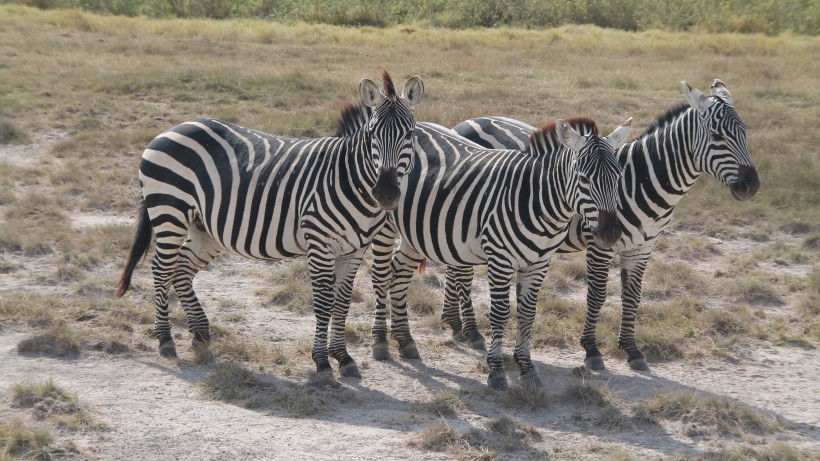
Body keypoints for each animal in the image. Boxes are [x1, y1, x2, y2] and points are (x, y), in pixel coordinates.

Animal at [116, 69, 426, 378]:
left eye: (409, 134)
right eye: (372, 134)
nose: (385, 193)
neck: (347, 178)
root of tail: (173, 128)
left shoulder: (355, 250)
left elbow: (342, 303)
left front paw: (343, 357)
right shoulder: (320, 245)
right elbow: (323, 303)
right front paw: (322, 361)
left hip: (203, 227)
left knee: (181, 268)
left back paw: (200, 333)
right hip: (169, 211)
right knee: (161, 269)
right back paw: (165, 339)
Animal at [346, 108, 636, 388]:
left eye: (619, 176)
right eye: (584, 178)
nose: (611, 233)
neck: (535, 198)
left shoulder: (539, 263)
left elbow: (527, 314)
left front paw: (527, 369)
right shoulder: (500, 259)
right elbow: (500, 314)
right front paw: (496, 372)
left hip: (416, 230)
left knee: (400, 275)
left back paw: (405, 341)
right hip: (385, 223)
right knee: (382, 276)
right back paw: (380, 342)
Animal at [452, 79, 760, 370]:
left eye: (745, 131)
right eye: (717, 136)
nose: (751, 186)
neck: (641, 181)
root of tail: (463, 123)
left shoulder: (642, 248)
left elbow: (633, 297)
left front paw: (633, 350)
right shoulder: (600, 244)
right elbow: (597, 295)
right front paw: (592, 350)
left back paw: (455, 324)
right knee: (461, 273)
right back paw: (470, 331)